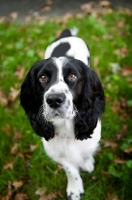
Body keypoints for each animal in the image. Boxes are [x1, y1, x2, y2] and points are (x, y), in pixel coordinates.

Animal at [20, 28, 105, 200]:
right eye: (43, 77)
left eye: (73, 76)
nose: (54, 100)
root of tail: (66, 34)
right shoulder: (54, 150)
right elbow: (70, 169)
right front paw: (74, 189)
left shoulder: (92, 136)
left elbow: (87, 150)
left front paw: (87, 163)